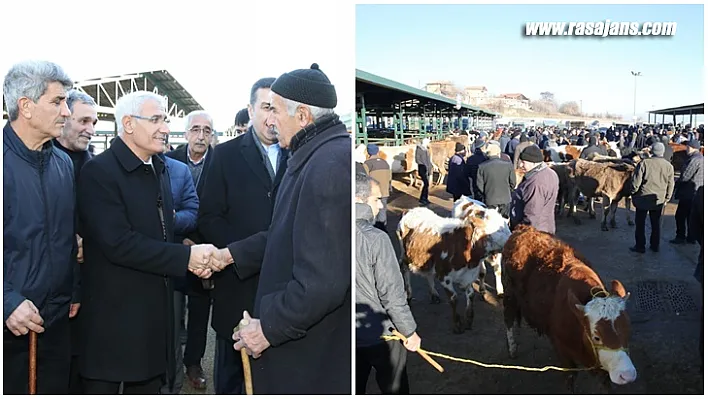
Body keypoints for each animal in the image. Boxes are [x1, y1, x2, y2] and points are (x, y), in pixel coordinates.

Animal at [398, 206, 508, 334]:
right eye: (498, 229)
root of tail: (411, 210)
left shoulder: (468, 276)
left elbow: (471, 295)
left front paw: (468, 319)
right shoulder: (444, 276)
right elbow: (453, 298)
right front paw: (457, 325)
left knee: (428, 274)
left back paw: (434, 294)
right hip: (405, 255)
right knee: (404, 269)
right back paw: (409, 295)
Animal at [500, 227, 640, 392]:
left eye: (627, 331)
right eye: (596, 337)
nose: (627, 375)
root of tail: (523, 229)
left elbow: (605, 382)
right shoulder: (563, 351)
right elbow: (570, 378)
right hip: (509, 295)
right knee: (508, 318)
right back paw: (512, 348)